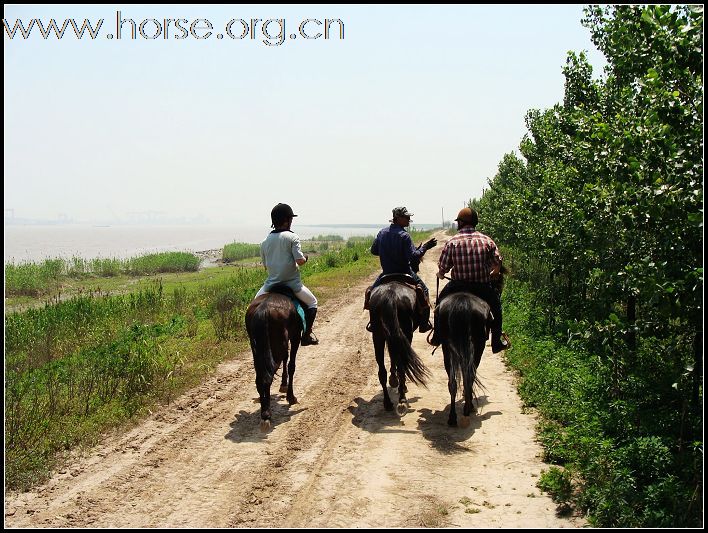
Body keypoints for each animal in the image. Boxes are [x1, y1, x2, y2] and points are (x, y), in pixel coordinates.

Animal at [245, 288, 302, 430]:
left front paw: (283, 385)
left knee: (260, 377)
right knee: (268, 376)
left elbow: (286, 360)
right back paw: (266, 415)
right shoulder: (295, 337)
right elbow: (291, 365)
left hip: (257, 349)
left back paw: (264, 410)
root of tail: (263, 309)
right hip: (278, 345)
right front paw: (290, 396)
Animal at [368, 280, 428, 414]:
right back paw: (402, 399)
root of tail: (390, 295)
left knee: (382, 372)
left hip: (378, 336)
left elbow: (392, 356)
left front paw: (393, 379)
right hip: (405, 333)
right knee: (402, 367)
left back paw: (387, 403)